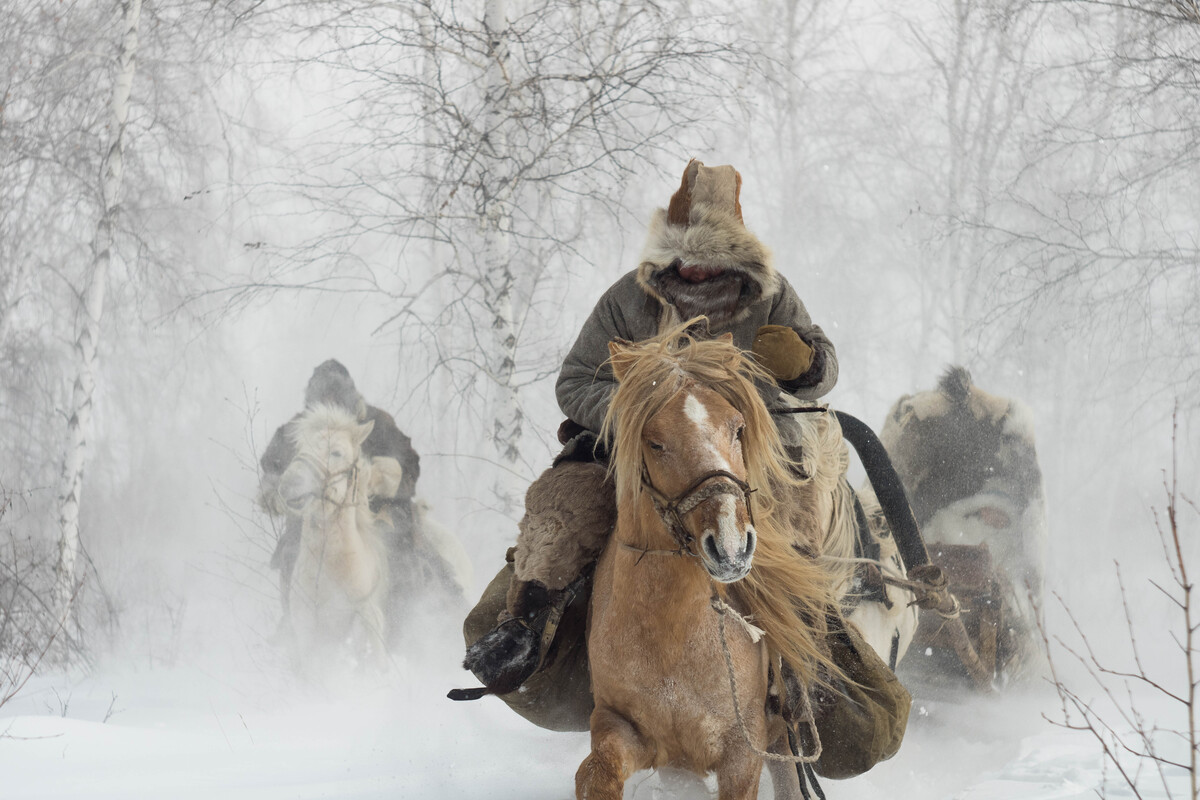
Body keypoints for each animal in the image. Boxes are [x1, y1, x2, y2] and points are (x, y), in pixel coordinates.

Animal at [578, 331, 854, 800]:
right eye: (655, 442)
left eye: (738, 428)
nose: (730, 546)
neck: (670, 633)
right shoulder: (625, 727)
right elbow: (597, 775)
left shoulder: (743, 750)